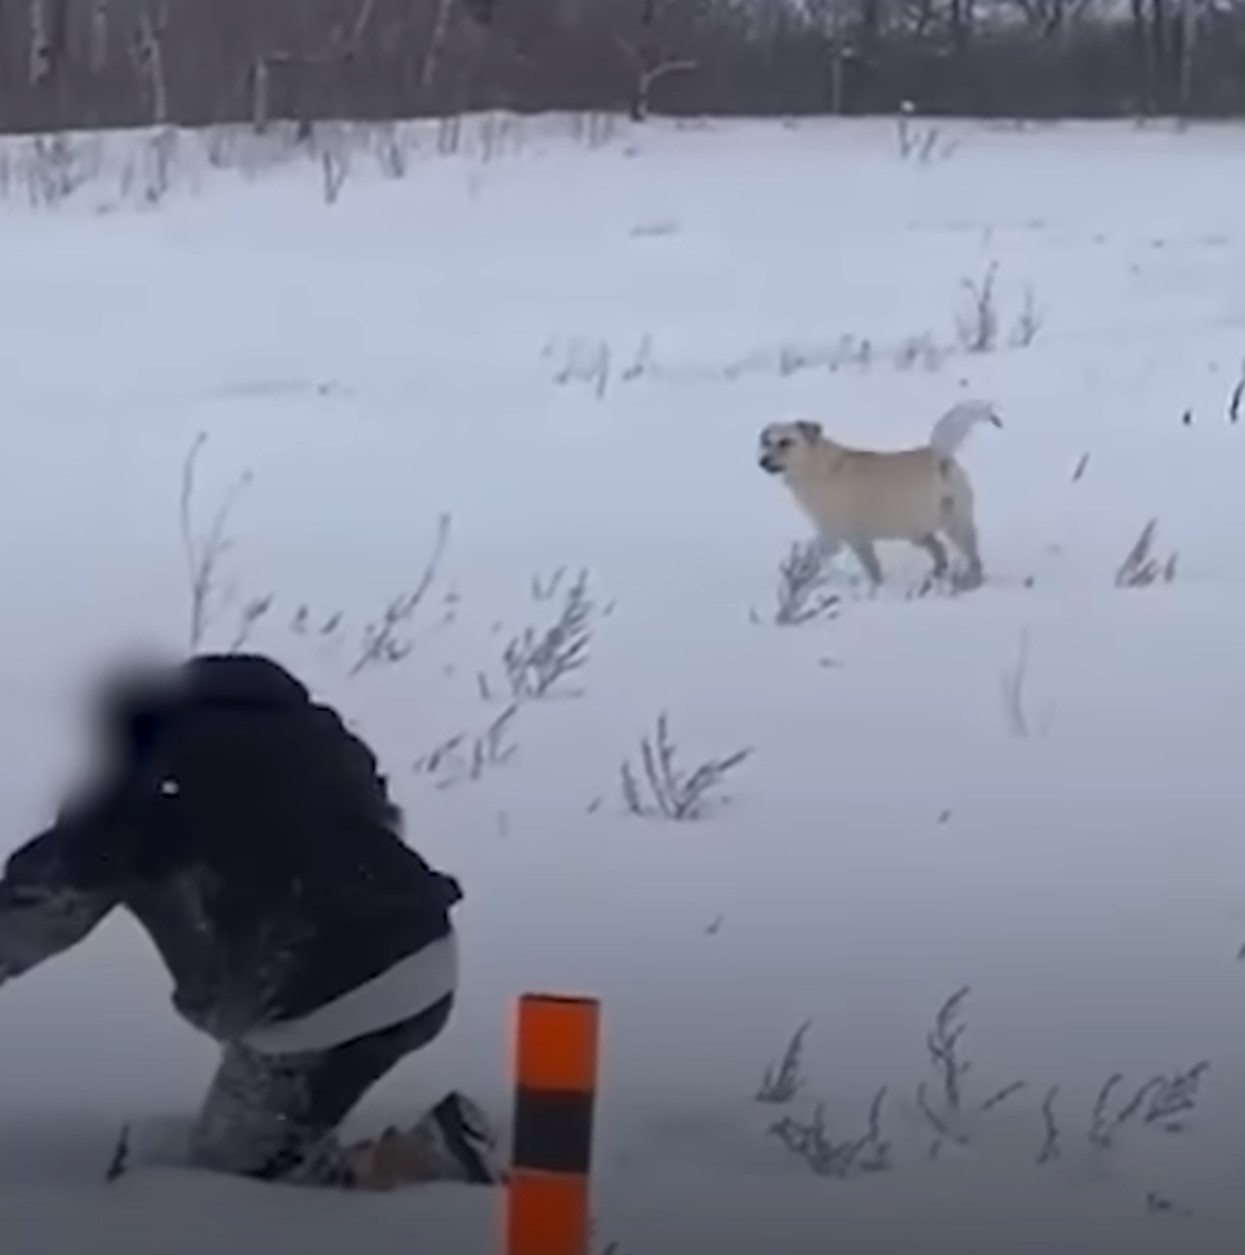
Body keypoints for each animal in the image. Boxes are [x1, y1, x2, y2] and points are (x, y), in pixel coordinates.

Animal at [758, 401, 1004, 592]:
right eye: (766, 442)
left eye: (785, 442)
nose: (762, 461)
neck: (815, 467)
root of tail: (940, 455)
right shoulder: (848, 537)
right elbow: (870, 566)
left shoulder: (839, 536)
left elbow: (861, 565)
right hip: (917, 532)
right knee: (940, 551)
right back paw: (935, 576)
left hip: (956, 525)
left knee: (974, 559)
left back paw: (971, 582)